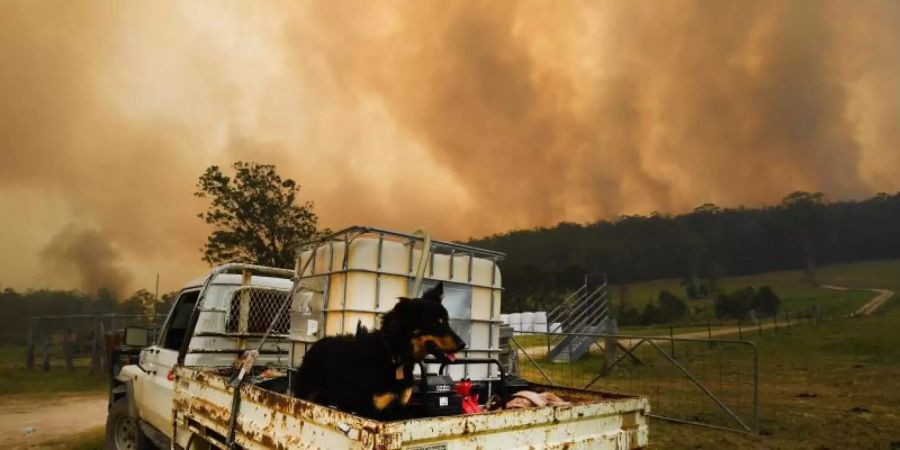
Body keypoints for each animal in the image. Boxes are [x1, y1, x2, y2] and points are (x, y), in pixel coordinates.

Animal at [294, 284, 468, 420]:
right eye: (437, 322)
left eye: (446, 321)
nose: (463, 344)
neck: (394, 356)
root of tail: (315, 345)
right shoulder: (375, 410)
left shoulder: (400, 407)